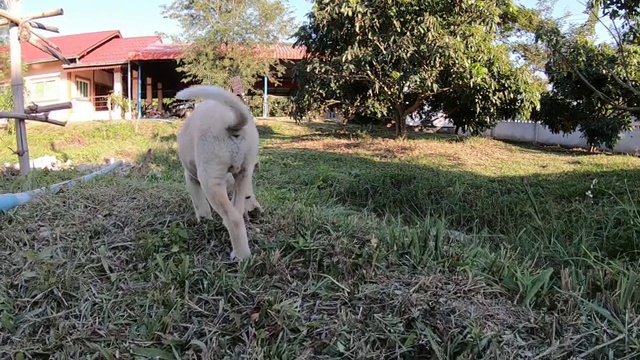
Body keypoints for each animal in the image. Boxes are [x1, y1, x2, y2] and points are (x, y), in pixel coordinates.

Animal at [175, 85, 260, 258]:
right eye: (249, 197)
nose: (256, 213)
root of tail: (232, 123)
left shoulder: (191, 177)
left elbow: (199, 202)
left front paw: (204, 220)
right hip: (244, 172)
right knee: (237, 211)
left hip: (210, 179)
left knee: (234, 218)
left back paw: (241, 255)